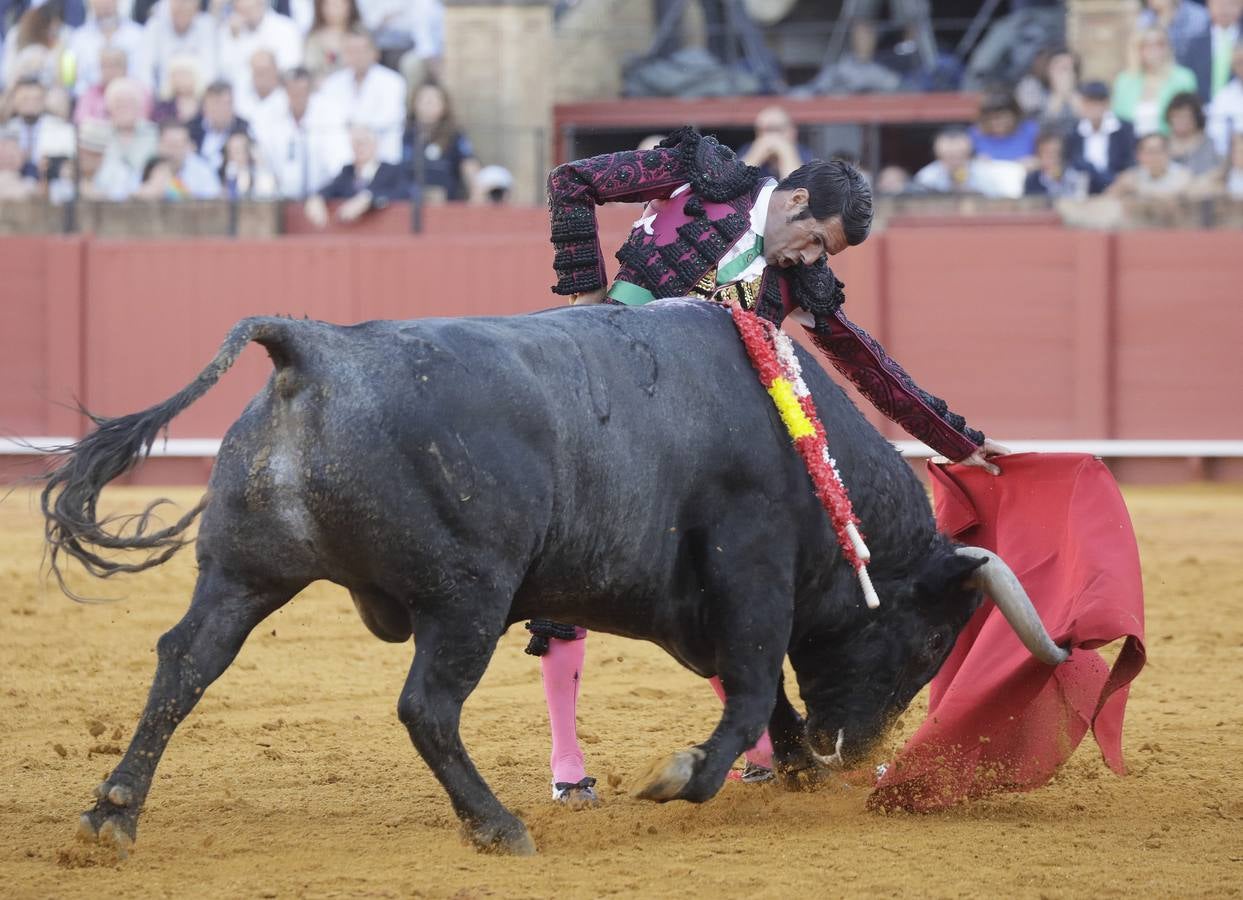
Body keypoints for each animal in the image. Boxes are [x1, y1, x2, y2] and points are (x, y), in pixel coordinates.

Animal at [43, 298, 1064, 855]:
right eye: (929, 643)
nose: (848, 752)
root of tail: (315, 348)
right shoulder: (751, 572)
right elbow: (746, 693)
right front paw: (684, 774)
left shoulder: (698, 608)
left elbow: (762, 690)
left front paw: (793, 773)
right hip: (466, 595)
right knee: (426, 707)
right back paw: (497, 826)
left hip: (244, 573)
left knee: (184, 665)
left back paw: (111, 817)